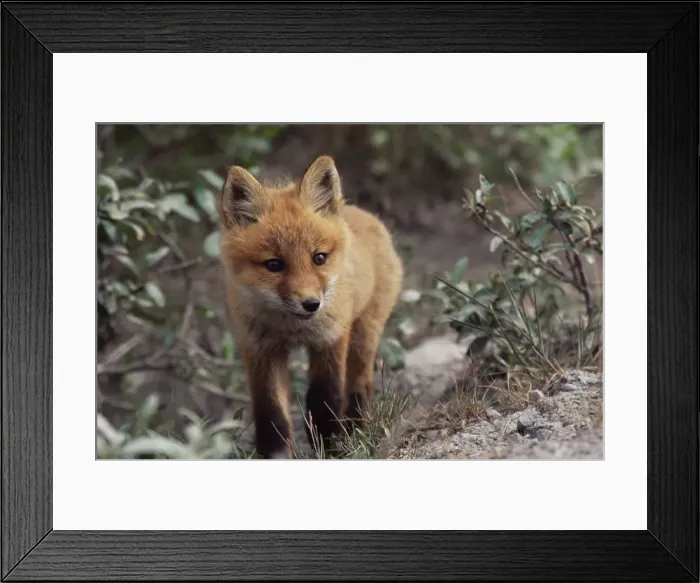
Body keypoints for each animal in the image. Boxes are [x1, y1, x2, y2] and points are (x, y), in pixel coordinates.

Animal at [216, 154, 404, 459]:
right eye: (274, 265)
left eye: (319, 258)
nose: (311, 304)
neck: (291, 329)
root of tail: (361, 213)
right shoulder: (260, 350)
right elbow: (271, 413)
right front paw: (276, 455)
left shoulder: (329, 339)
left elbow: (324, 401)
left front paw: (331, 448)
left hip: (363, 335)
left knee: (359, 384)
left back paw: (357, 429)